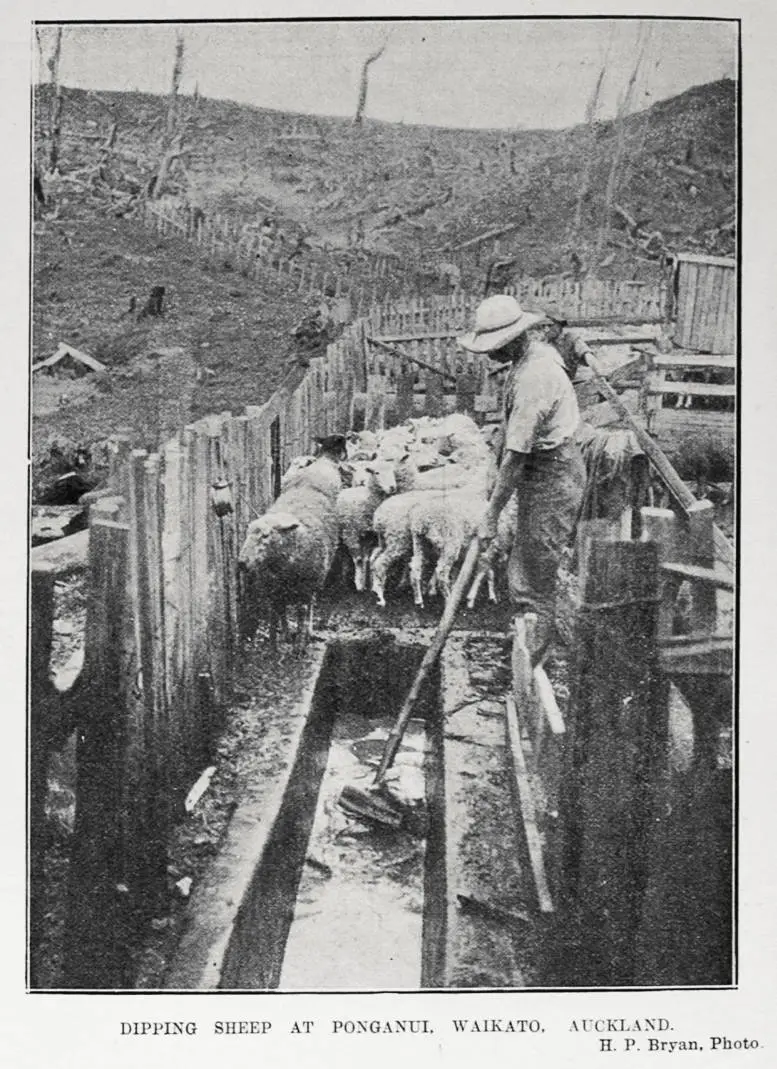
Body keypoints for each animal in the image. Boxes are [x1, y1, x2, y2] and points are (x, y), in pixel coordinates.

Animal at [335, 459, 397, 594]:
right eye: (377, 472)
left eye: (393, 471)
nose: (392, 487)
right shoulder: (351, 533)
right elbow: (358, 559)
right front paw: (359, 585)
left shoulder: (368, 536)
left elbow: (366, 559)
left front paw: (366, 584)